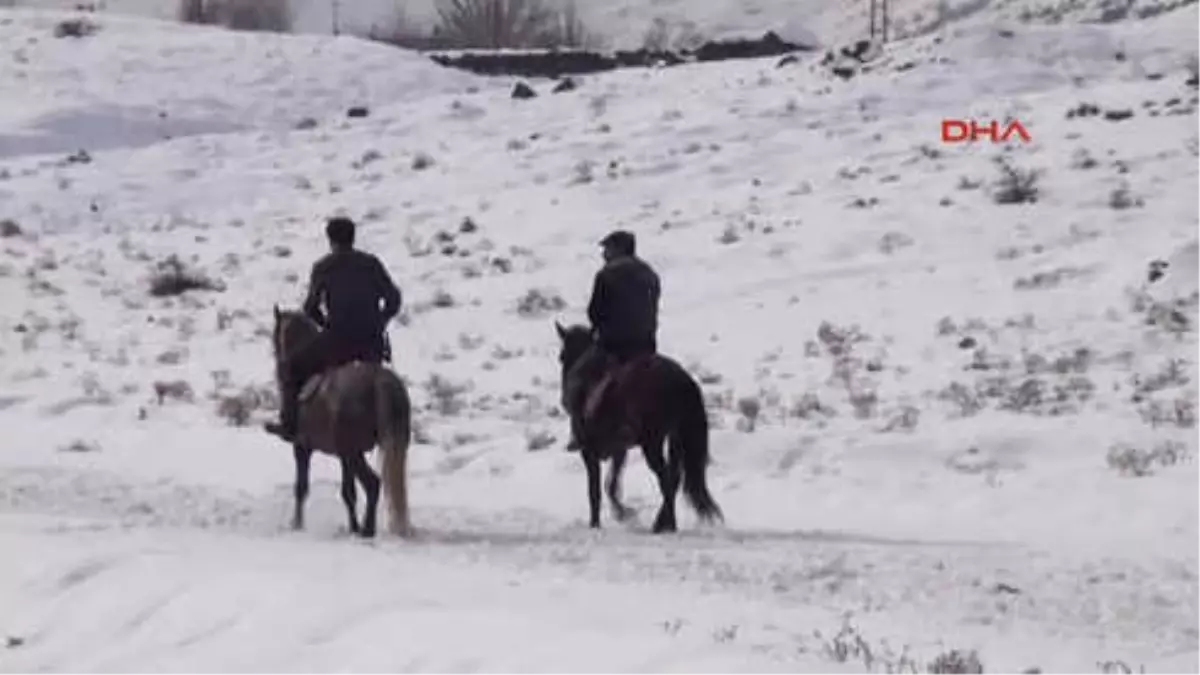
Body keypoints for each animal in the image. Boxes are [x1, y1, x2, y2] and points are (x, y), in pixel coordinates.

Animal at [270, 307, 415, 538]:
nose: (279, 362)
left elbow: (301, 487)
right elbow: (348, 493)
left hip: (354, 452)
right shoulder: (343, 456)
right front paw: (352, 527)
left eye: (275, 336)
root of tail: (380, 382)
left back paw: (368, 529)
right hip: (374, 448)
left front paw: (297, 524)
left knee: (373, 483)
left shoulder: (302, 448)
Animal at [554, 319, 720, 530]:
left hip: (653, 442)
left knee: (666, 480)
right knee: (674, 478)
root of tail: (682, 380)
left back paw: (666, 525)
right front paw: (622, 513)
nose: (563, 400)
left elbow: (595, 491)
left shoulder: (589, 452)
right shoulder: (619, 451)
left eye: (561, 356)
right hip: (675, 438)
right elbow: (611, 484)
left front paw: (596, 524)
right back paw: (662, 523)